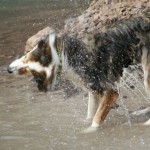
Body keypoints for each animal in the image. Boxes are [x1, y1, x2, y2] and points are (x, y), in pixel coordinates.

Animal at [7, 14, 150, 128]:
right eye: (26, 59)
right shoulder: (94, 91)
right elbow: (90, 114)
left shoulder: (111, 90)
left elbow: (96, 119)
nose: (8, 70)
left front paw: (88, 131)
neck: (64, 58)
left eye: (32, 72)